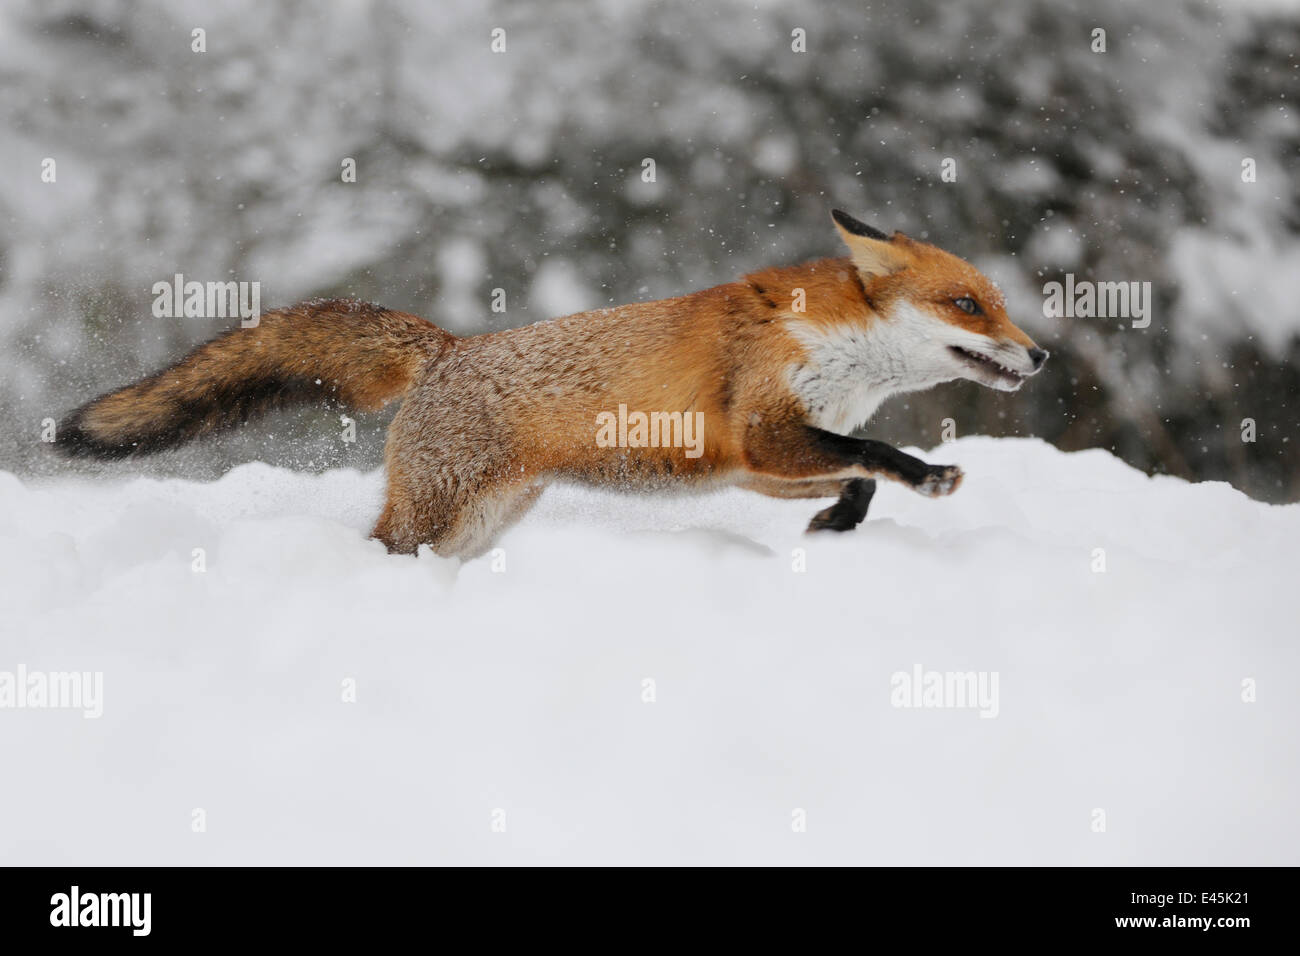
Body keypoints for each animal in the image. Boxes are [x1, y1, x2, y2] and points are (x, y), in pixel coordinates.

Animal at [55, 209, 1047, 557]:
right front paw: (928, 475)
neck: (841, 358)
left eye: (999, 304)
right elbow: (879, 450)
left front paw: (837, 525)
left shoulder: (756, 461)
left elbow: (858, 472)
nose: (1038, 356)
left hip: (487, 518)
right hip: (438, 510)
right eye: (968, 304)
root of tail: (448, 347)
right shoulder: (766, 431)